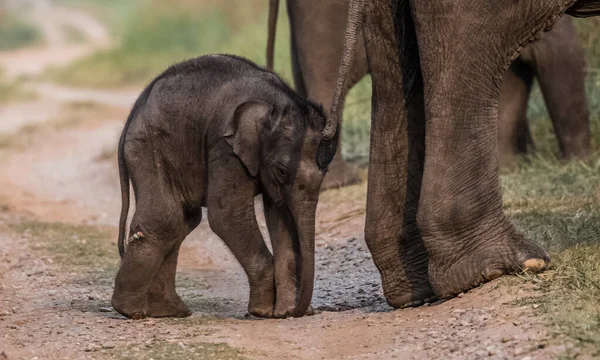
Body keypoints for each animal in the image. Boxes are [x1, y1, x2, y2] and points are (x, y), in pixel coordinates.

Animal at [111, 54, 338, 320]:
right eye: (282, 171)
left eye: (325, 173)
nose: (299, 312)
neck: (276, 103)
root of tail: (134, 111)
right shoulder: (224, 144)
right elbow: (227, 216)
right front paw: (263, 312)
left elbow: (279, 215)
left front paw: (281, 312)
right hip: (148, 147)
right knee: (164, 219)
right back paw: (133, 311)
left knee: (182, 221)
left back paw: (169, 311)